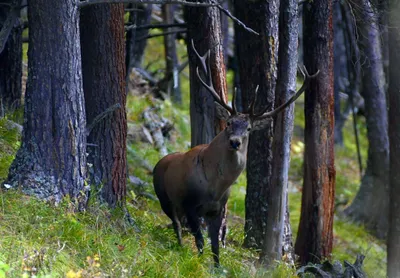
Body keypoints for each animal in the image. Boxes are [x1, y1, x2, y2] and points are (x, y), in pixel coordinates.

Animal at [153, 40, 318, 268]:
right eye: (229, 123)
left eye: (248, 128)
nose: (235, 142)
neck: (215, 187)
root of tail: (159, 163)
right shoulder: (190, 204)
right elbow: (200, 240)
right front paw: (196, 262)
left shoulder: (218, 209)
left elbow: (215, 246)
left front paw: (217, 267)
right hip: (164, 197)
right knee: (176, 223)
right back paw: (179, 245)